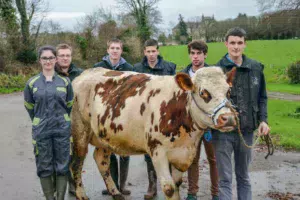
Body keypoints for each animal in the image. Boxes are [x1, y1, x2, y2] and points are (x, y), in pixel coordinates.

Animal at [69, 67, 237, 200]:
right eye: (203, 93)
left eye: (228, 91)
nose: (228, 118)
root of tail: (85, 73)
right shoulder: (157, 151)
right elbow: (169, 189)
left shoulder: (181, 152)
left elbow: (177, 184)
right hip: (80, 131)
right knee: (76, 164)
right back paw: (82, 195)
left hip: (104, 135)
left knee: (101, 160)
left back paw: (116, 192)